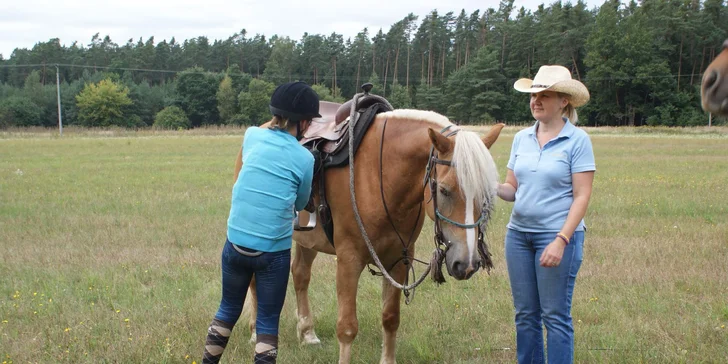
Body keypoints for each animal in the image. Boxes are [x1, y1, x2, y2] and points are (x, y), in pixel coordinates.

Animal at [236, 106, 504, 362]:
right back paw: (255, 332)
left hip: (307, 240)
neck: (380, 174)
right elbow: (347, 327)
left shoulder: (399, 260)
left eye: (486, 193)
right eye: (445, 190)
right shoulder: (348, 260)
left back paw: (308, 333)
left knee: (301, 275)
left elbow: (390, 318)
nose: (466, 264)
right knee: (255, 279)